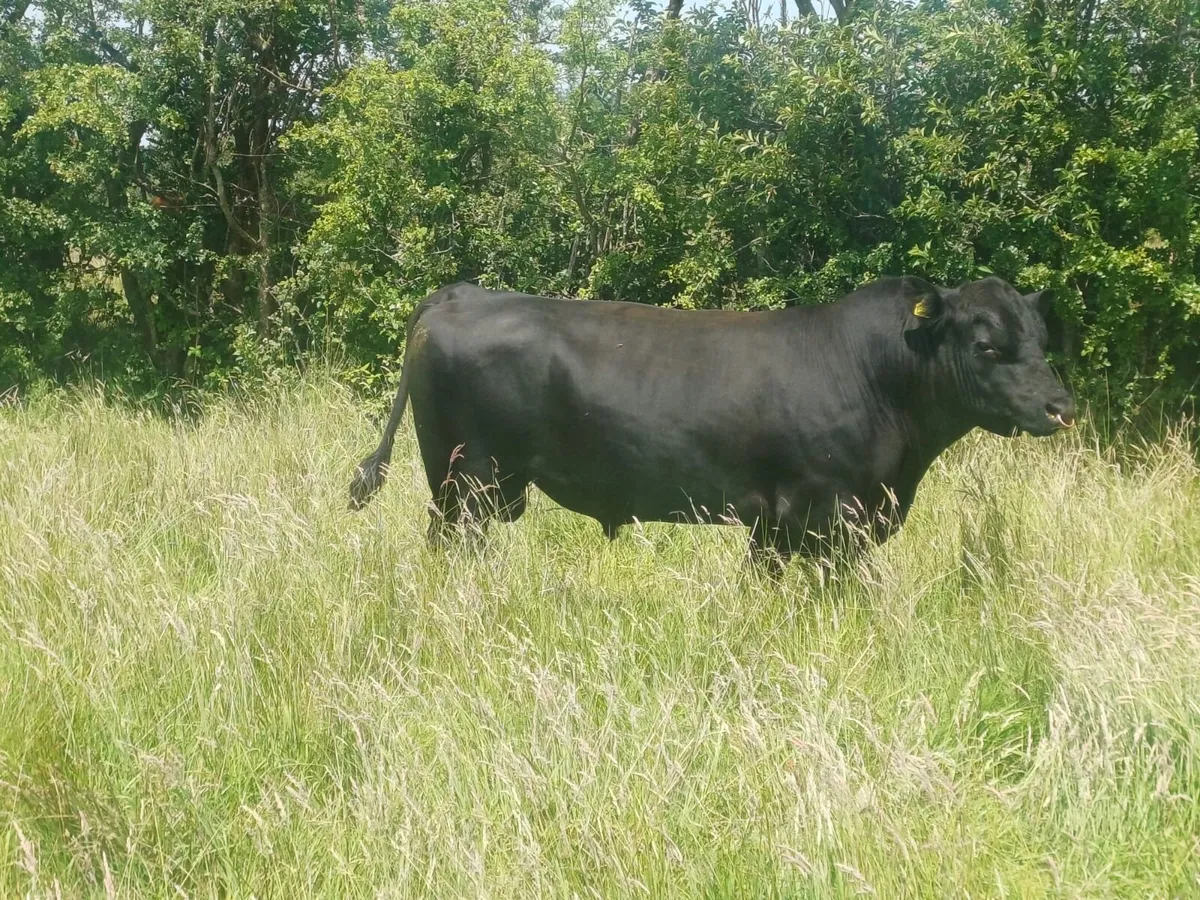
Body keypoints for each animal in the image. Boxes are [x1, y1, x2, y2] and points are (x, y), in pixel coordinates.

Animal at [349, 276, 1075, 572]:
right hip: (466, 482)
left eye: (1042, 338)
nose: (1060, 407)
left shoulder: (779, 524)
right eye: (987, 346)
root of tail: (461, 292)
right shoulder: (824, 513)